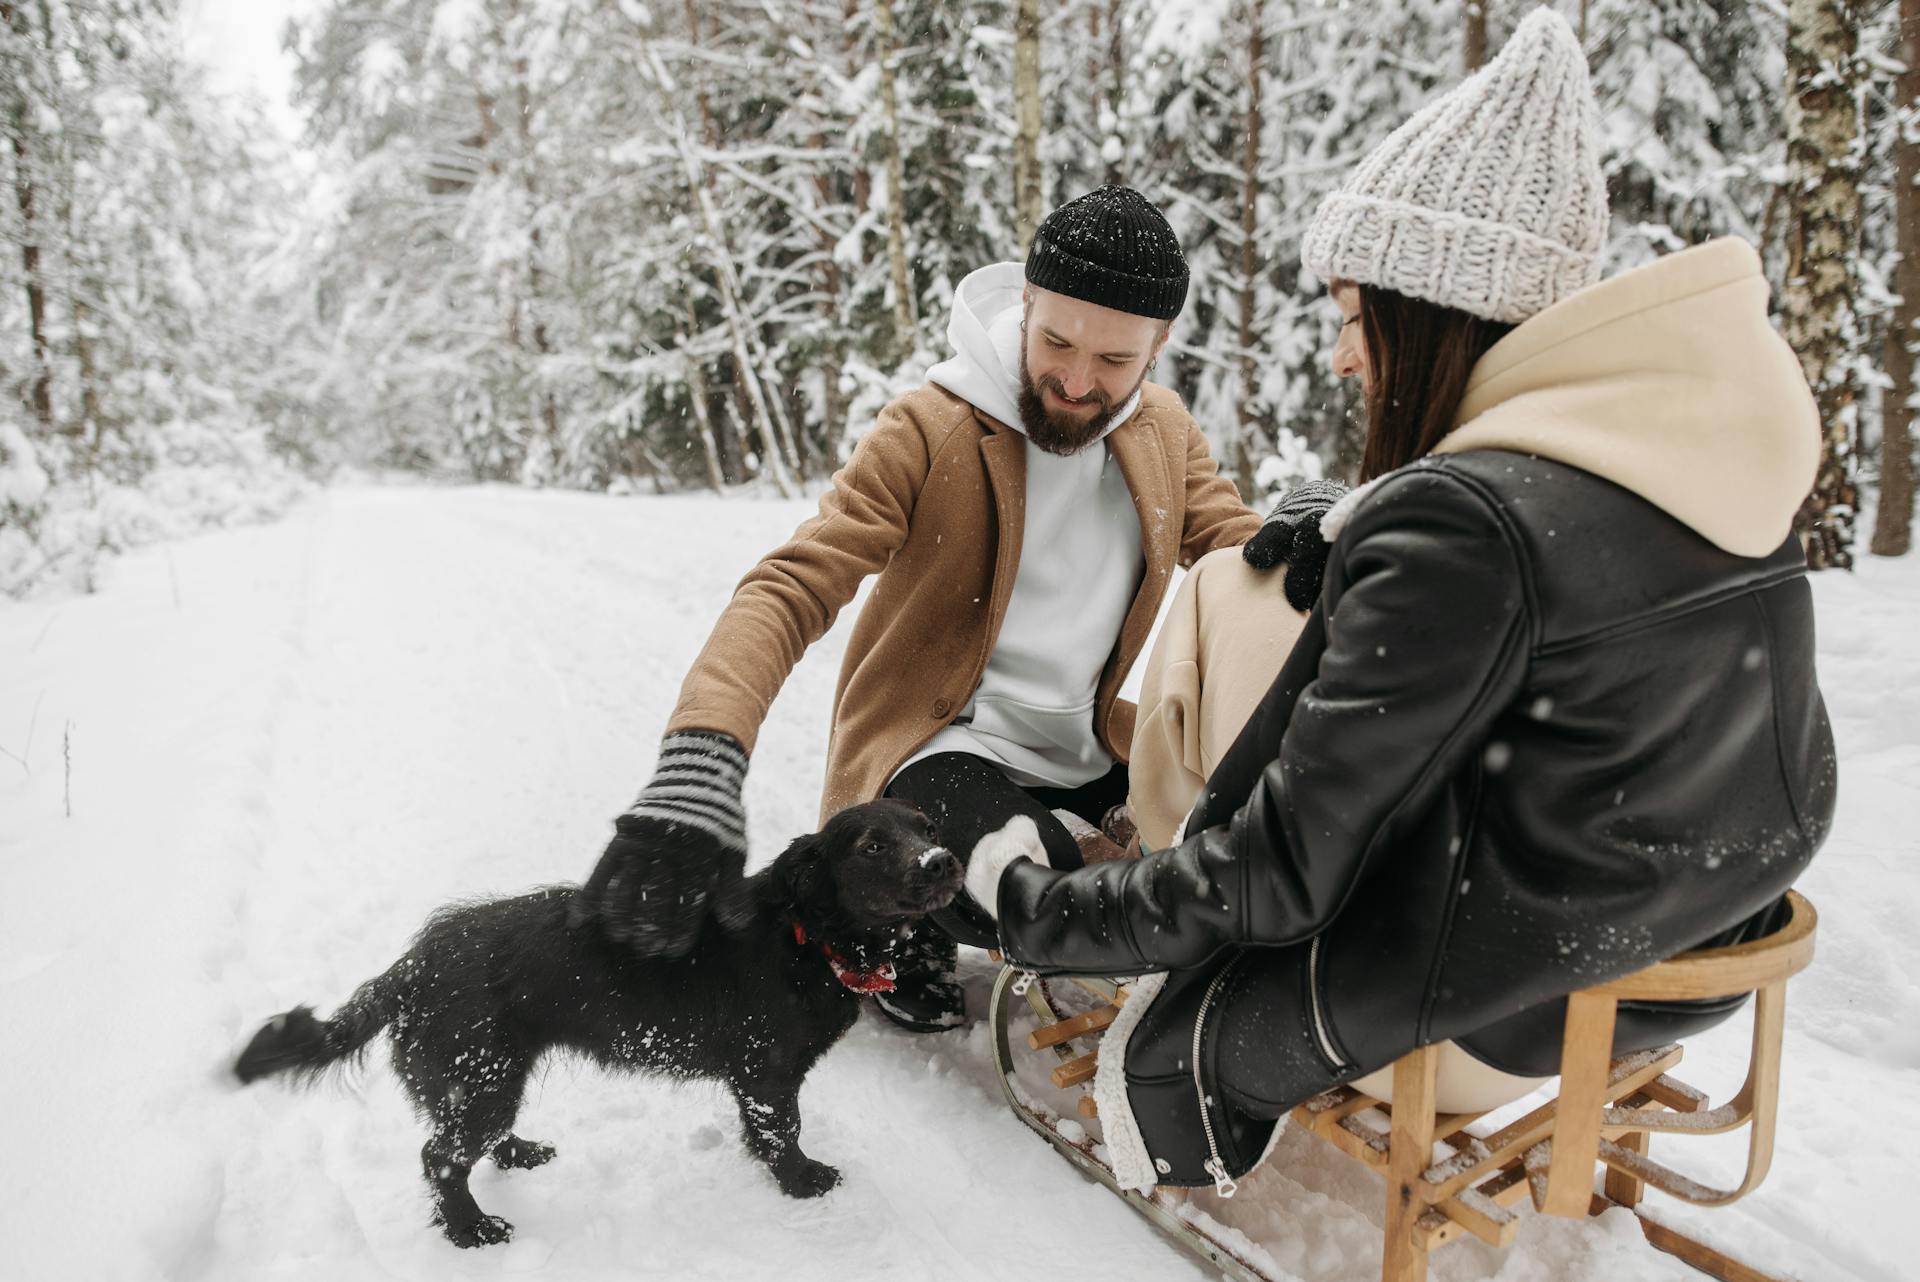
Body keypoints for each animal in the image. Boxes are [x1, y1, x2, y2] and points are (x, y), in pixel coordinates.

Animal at [232, 806, 960, 1243]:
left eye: (927, 826)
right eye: (872, 844)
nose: (945, 861)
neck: (809, 938)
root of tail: (411, 966)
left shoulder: (762, 1075)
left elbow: (766, 1130)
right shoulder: (766, 1070)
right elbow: (784, 1130)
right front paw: (800, 1182)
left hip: (480, 1078)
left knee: (463, 1143)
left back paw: (518, 1155)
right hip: (484, 1074)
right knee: (439, 1159)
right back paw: (472, 1232)